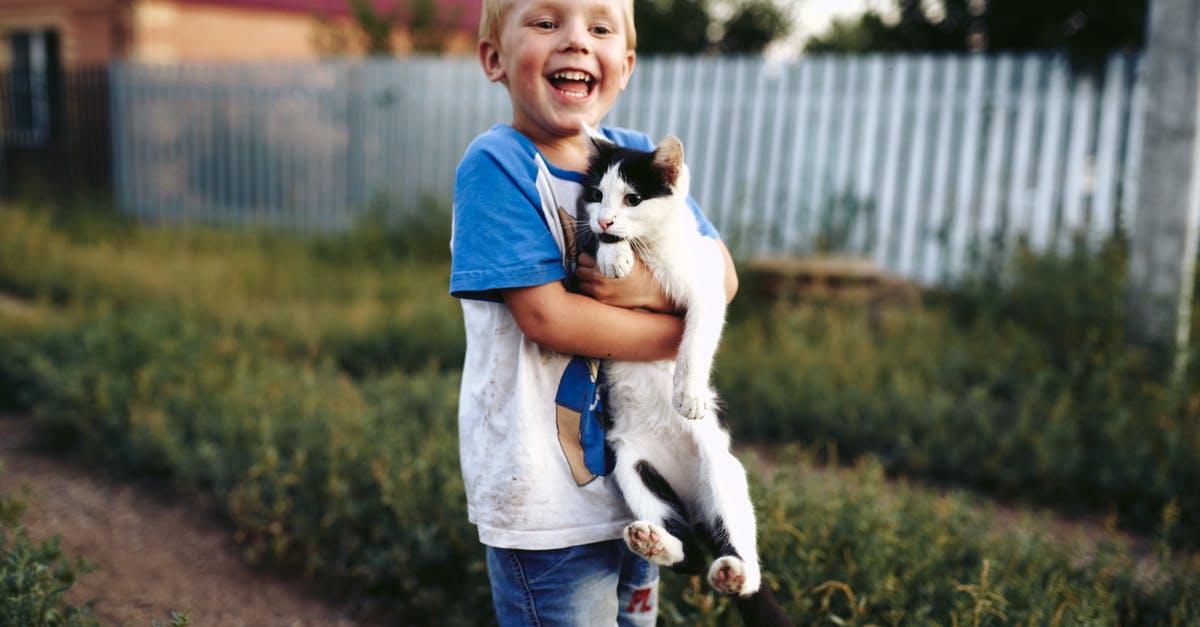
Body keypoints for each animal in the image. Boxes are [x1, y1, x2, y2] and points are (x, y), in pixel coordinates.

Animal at [580, 127, 768, 600]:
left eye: (633, 198)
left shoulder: (708, 284)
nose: (605, 220)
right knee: (687, 550)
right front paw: (614, 252)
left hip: (721, 467)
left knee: (732, 547)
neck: (653, 247)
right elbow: (591, 241)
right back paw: (655, 540)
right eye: (596, 194)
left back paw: (735, 573)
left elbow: (697, 339)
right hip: (629, 464)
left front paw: (690, 395)